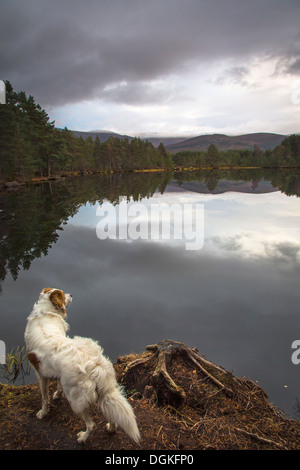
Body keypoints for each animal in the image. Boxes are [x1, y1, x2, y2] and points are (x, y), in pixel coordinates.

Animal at [24, 286, 140, 444]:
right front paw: (57, 394)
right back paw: (110, 429)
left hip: (76, 400)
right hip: (103, 395)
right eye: (63, 294)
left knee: (91, 425)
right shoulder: (54, 372)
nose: (72, 294)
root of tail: (96, 366)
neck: (45, 312)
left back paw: (83, 437)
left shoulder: (40, 373)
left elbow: (44, 398)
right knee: (111, 415)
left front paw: (42, 413)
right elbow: (57, 385)